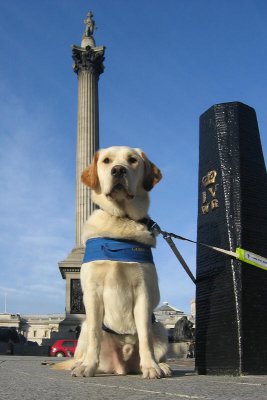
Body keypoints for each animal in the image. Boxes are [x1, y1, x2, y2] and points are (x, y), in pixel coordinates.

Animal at [56, 146, 172, 378]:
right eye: (107, 160)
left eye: (133, 160)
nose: (118, 170)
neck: (120, 219)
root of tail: (122, 368)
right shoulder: (92, 293)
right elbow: (95, 335)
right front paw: (86, 367)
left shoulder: (143, 292)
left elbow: (144, 336)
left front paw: (151, 367)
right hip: (84, 329)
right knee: (85, 345)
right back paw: (79, 364)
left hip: (161, 329)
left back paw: (160, 365)